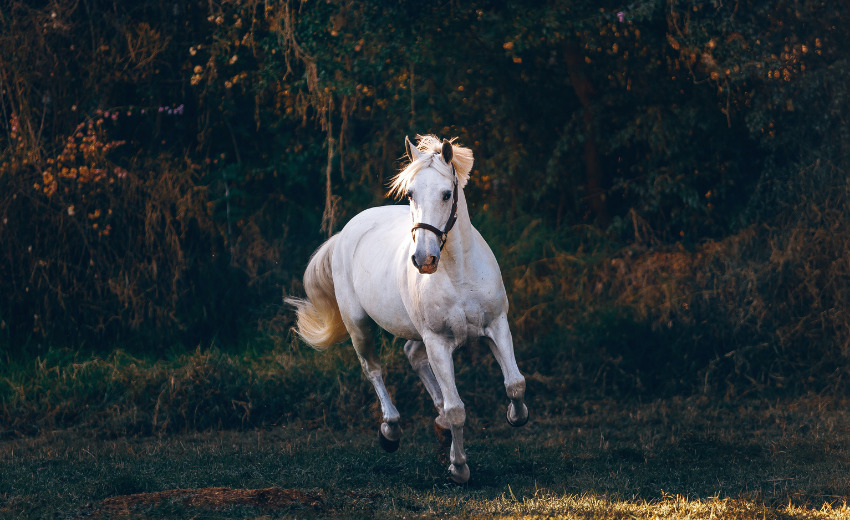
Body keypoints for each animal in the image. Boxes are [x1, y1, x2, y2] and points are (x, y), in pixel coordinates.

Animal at [286, 134, 524, 484]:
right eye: (410, 194)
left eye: (447, 193)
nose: (424, 259)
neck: (459, 272)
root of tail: (347, 231)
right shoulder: (437, 341)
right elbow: (457, 408)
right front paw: (459, 468)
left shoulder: (496, 325)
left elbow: (515, 384)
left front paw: (513, 416)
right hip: (359, 325)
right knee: (373, 369)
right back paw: (391, 430)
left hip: (416, 332)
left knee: (412, 355)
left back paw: (438, 426)